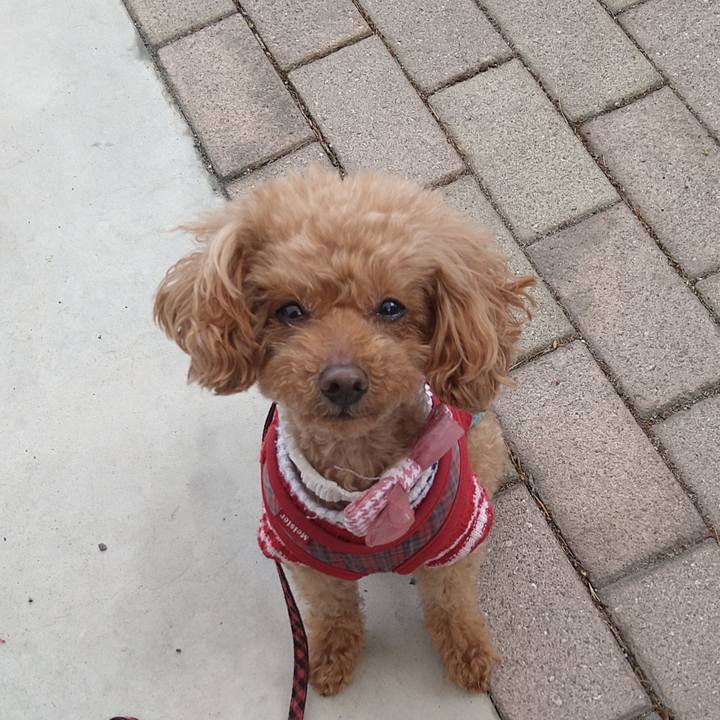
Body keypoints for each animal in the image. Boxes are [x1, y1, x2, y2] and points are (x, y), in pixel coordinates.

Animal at [154, 167, 533, 696]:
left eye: (391, 307)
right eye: (290, 311)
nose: (343, 381)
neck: (365, 484)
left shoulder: (455, 540)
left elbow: (451, 600)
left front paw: (468, 652)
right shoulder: (301, 555)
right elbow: (333, 610)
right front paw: (330, 657)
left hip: (483, 445)